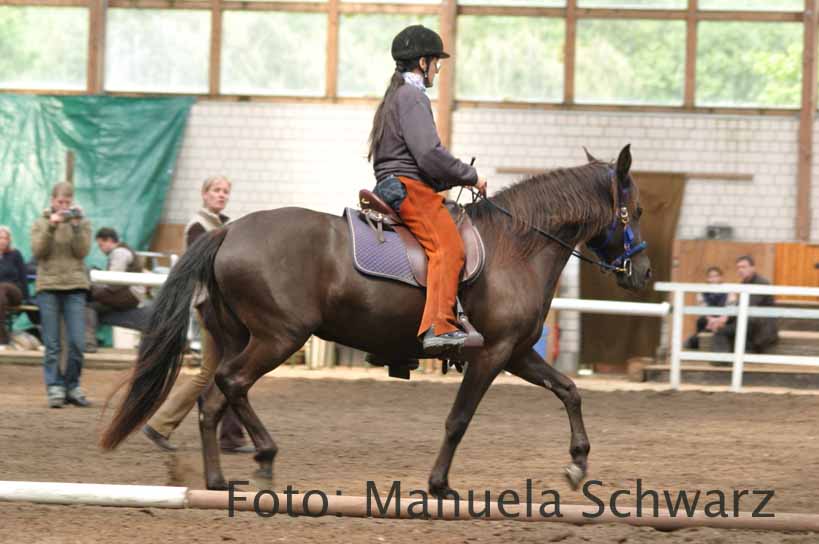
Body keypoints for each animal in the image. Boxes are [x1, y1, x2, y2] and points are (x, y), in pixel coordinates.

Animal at [101, 144, 652, 492]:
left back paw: (217, 481)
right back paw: (265, 458)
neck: (515, 246)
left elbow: (569, 391)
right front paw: (439, 484)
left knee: (212, 399)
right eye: (639, 210)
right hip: (278, 337)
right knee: (231, 384)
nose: (644, 273)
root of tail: (227, 231)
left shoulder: (515, 353)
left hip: (239, 337)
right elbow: (459, 418)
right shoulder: (491, 354)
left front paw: (578, 465)